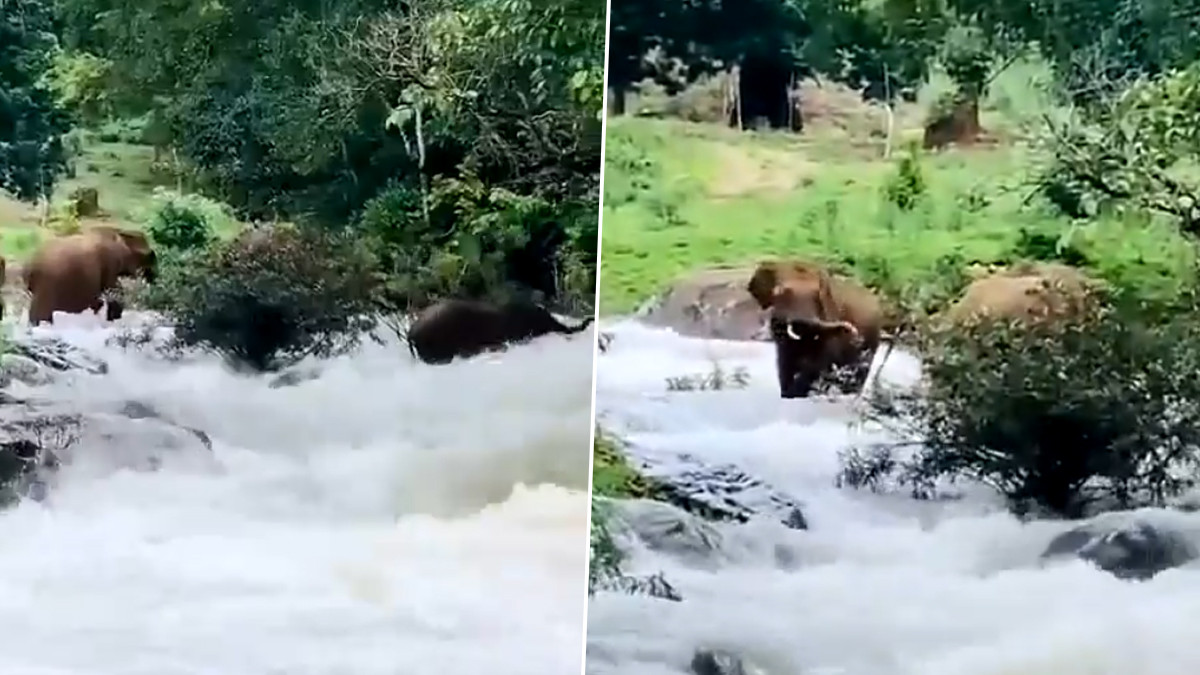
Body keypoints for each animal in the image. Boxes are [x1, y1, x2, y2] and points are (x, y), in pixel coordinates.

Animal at [25, 226, 158, 326]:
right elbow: (114, 290)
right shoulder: (111, 263)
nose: (154, 279)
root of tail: (31, 264)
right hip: (48, 286)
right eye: (150, 256)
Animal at [747, 260, 885, 399]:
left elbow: (816, 365)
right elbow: (784, 364)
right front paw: (787, 394)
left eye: (817, 296)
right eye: (780, 293)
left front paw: (797, 393)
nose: (853, 332)